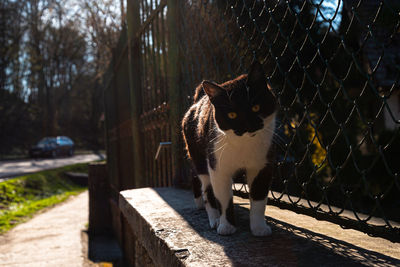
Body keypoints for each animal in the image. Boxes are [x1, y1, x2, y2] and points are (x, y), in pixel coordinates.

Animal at [183, 61, 276, 237]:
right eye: (232, 115)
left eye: (256, 107)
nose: (248, 126)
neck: (244, 144)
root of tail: (198, 101)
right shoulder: (218, 166)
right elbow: (223, 198)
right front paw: (226, 226)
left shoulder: (262, 165)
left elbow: (259, 197)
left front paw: (259, 228)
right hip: (198, 155)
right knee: (206, 187)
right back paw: (213, 218)